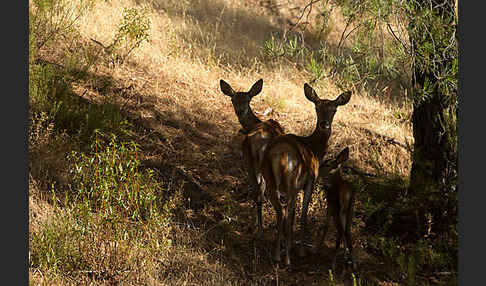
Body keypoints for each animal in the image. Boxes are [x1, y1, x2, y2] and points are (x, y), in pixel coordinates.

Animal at [220, 77, 284, 235]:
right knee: (263, 191)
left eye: (248, 99)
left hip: (250, 161)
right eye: (233, 99)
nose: (240, 111)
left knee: (258, 190)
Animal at [260, 83, 352, 266]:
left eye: (334, 109)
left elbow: (294, 214)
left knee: (280, 211)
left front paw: (289, 244)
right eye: (317, 107)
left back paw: (277, 254)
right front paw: (300, 250)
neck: (314, 149)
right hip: (291, 179)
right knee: (285, 211)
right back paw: (286, 258)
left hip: (271, 179)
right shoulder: (309, 181)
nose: (324, 123)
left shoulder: (297, 187)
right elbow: (302, 214)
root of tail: (277, 154)